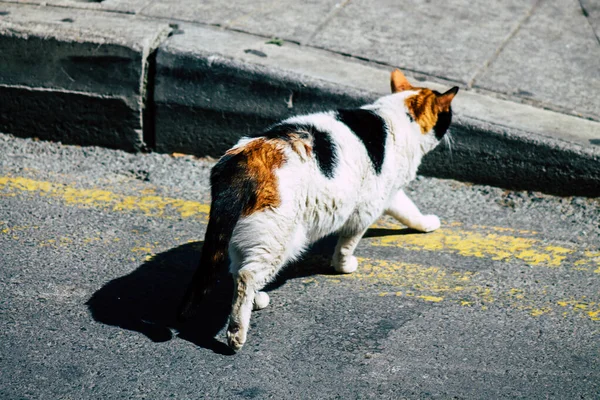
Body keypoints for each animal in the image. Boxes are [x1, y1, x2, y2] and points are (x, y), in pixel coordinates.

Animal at [178, 69, 460, 350]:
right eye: (448, 115)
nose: (451, 132)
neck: (396, 117)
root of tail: (245, 157)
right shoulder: (366, 209)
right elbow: (347, 244)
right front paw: (344, 266)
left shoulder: (388, 195)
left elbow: (408, 209)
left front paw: (425, 224)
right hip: (279, 238)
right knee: (247, 276)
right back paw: (236, 334)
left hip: (246, 235)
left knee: (238, 270)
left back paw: (257, 300)